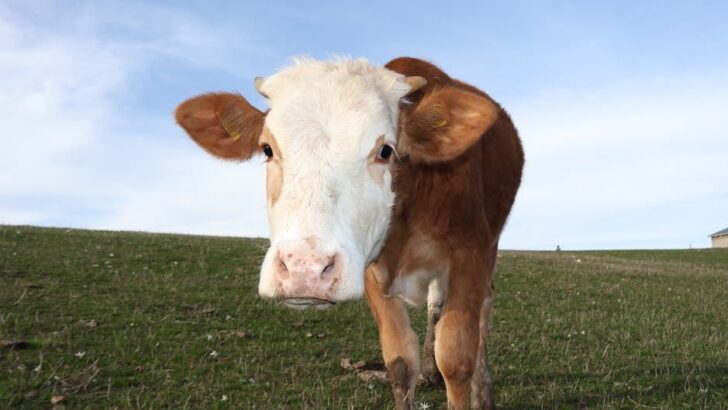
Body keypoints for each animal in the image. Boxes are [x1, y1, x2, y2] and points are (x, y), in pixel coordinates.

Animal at [175, 57, 524, 410]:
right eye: (267, 149)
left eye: (385, 151)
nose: (305, 269)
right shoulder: (371, 270)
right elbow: (400, 362)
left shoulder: (470, 254)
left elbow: (456, 358)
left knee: (483, 308)